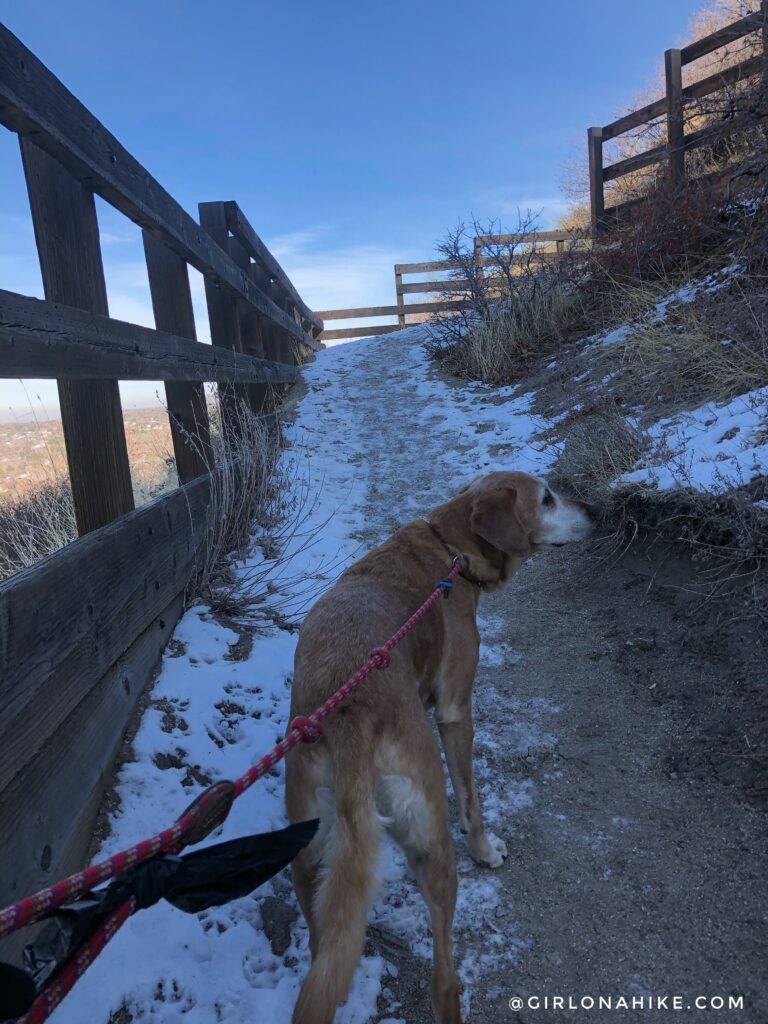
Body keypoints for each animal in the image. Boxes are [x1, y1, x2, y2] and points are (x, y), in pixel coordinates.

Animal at [286, 471, 598, 1024]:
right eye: (547, 498)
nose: (597, 511)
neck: (450, 548)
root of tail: (349, 722)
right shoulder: (454, 710)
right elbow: (471, 801)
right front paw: (486, 849)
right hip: (432, 844)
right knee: (444, 981)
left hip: (309, 864)